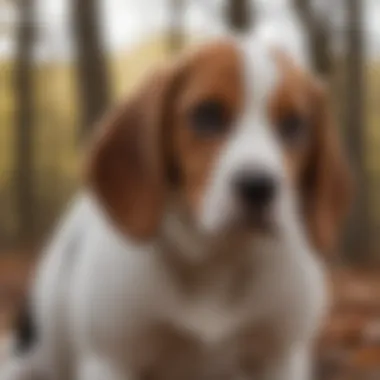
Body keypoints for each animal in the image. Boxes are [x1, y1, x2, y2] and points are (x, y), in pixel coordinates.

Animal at [0, 26, 352, 380]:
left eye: (294, 124)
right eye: (206, 114)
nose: (258, 187)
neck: (217, 257)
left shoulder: (280, 358)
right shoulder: (112, 359)